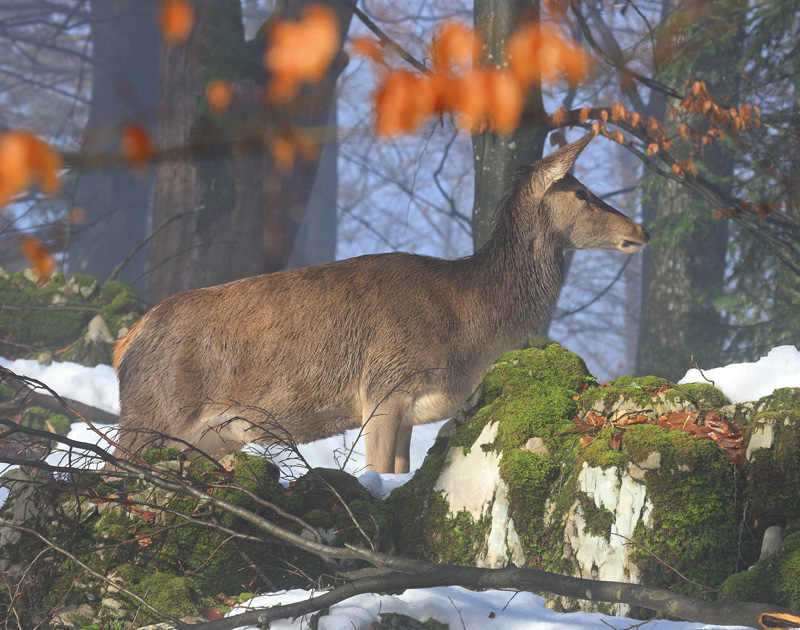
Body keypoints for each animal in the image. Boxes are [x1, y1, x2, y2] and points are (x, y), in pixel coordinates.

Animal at [112, 135, 648, 478]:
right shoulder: (383, 388)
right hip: (150, 415)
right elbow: (377, 472)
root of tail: (126, 341)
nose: (640, 230)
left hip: (208, 436)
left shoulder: (409, 410)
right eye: (582, 193)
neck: (471, 331)